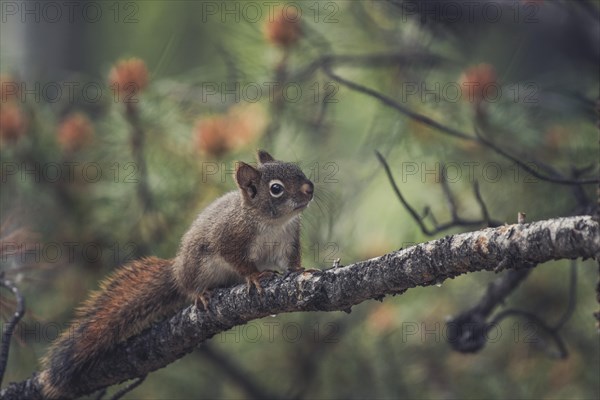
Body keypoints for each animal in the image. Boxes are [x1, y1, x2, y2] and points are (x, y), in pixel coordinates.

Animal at [39, 149, 314, 396]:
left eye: (297, 168)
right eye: (276, 188)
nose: (310, 188)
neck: (272, 223)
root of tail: (176, 271)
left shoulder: (288, 240)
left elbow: (290, 261)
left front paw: (301, 270)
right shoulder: (229, 237)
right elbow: (238, 261)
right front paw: (255, 276)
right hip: (196, 267)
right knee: (191, 286)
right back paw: (201, 294)